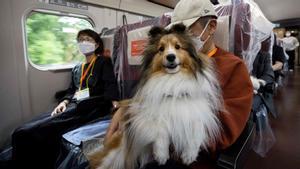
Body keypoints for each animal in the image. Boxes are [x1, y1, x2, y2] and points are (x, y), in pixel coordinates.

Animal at [86, 23, 223, 169]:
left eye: (178, 46)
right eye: (161, 49)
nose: (170, 57)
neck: (172, 82)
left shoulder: (197, 111)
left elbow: (197, 131)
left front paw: (189, 155)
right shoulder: (147, 116)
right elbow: (160, 131)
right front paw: (161, 155)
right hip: (114, 153)